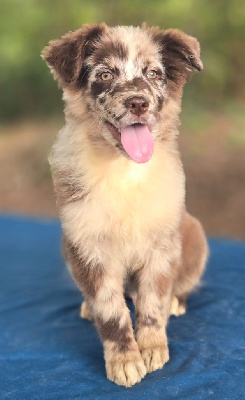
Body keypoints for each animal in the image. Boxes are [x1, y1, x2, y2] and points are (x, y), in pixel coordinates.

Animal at [42, 24, 209, 388]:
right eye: (105, 75)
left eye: (154, 74)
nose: (138, 102)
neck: (124, 172)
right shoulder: (88, 246)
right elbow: (110, 310)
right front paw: (125, 360)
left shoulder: (161, 244)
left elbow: (152, 302)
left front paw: (152, 348)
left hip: (194, 237)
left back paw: (176, 302)